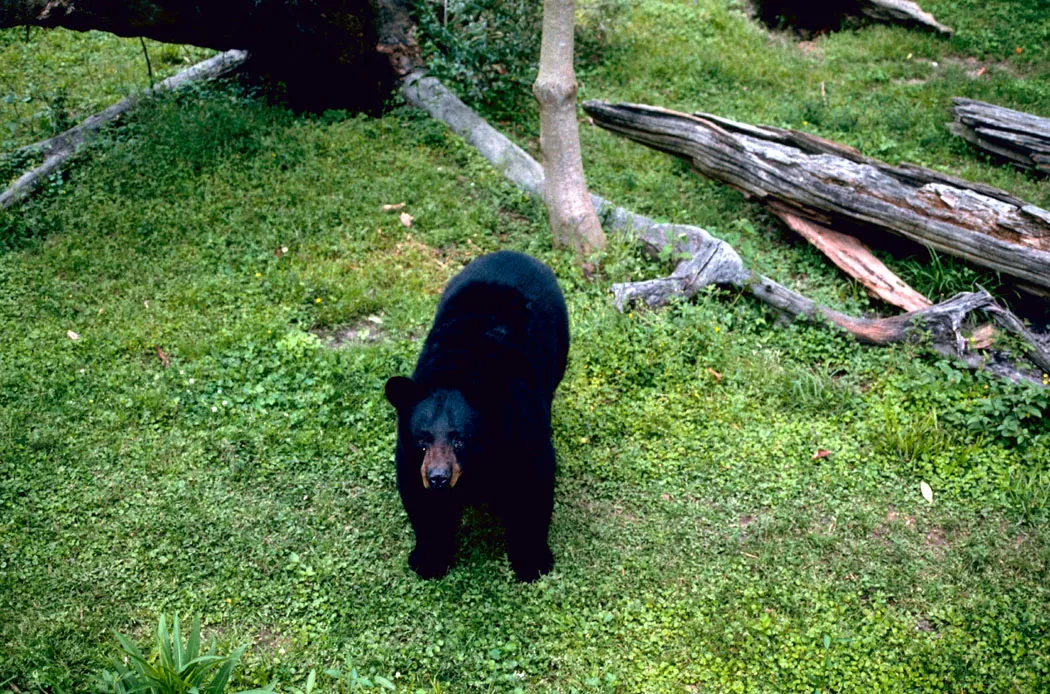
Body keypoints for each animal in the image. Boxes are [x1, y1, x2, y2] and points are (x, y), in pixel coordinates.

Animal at [384, 248, 571, 579]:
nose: (438, 478)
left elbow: (532, 484)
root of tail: (513, 253)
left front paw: (532, 562)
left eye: (460, 439)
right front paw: (428, 559)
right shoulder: (410, 456)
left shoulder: (520, 428)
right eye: (422, 440)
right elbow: (419, 498)